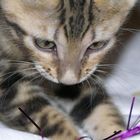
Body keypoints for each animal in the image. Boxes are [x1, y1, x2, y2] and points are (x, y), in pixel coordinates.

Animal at [0, 0, 137, 140]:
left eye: (96, 45)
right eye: (45, 43)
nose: (68, 81)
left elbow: (96, 105)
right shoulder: (8, 83)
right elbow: (45, 117)